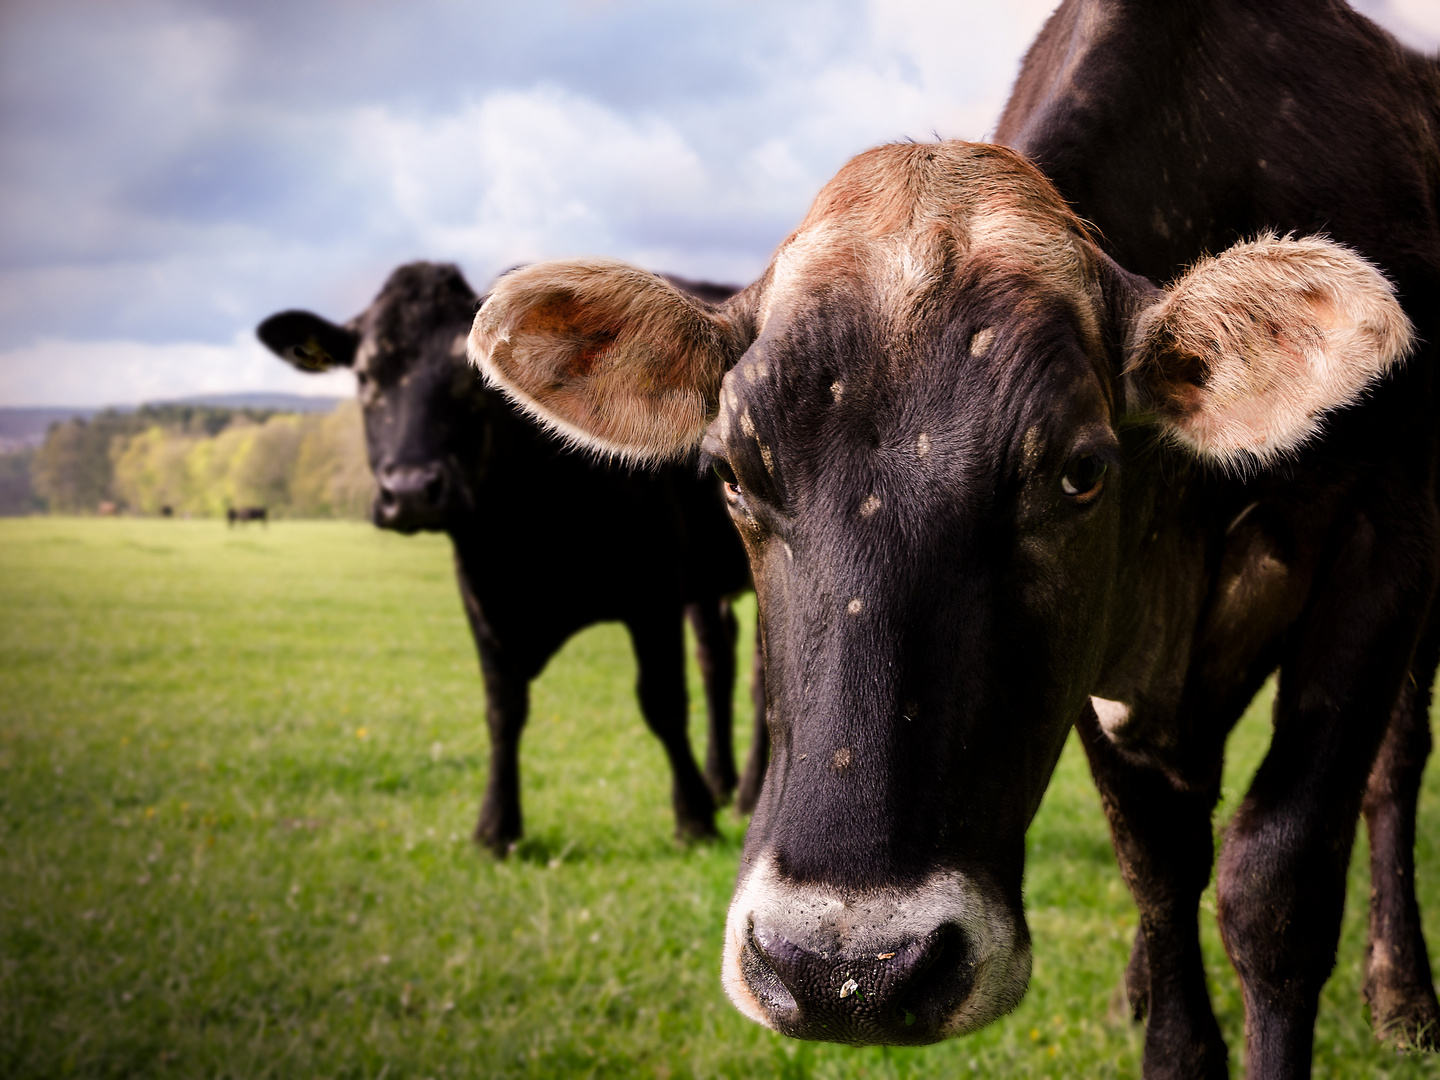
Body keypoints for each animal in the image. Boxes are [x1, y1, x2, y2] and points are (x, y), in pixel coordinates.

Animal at [253, 262, 771, 852]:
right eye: (365, 377)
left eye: (467, 371)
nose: (409, 490)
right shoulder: (481, 594)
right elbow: (502, 708)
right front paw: (496, 826)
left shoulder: (654, 590)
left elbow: (662, 702)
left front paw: (694, 818)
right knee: (717, 660)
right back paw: (721, 780)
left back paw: (747, 792)